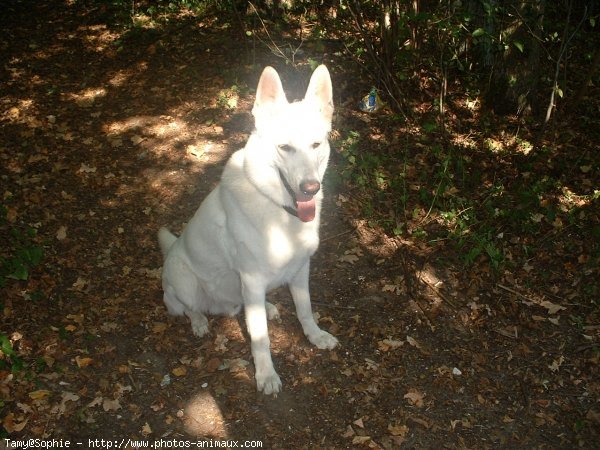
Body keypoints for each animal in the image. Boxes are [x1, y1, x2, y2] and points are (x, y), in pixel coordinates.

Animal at [158, 63, 338, 394]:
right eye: (285, 147)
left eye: (315, 145)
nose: (311, 188)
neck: (278, 208)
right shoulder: (252, 279)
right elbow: (260, 339)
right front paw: (266, 375)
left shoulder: (300, 269)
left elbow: (305, 310)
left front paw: (315, 335)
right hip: (183, 282)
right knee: (189, 308)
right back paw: (199, 321)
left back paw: (266, 307)